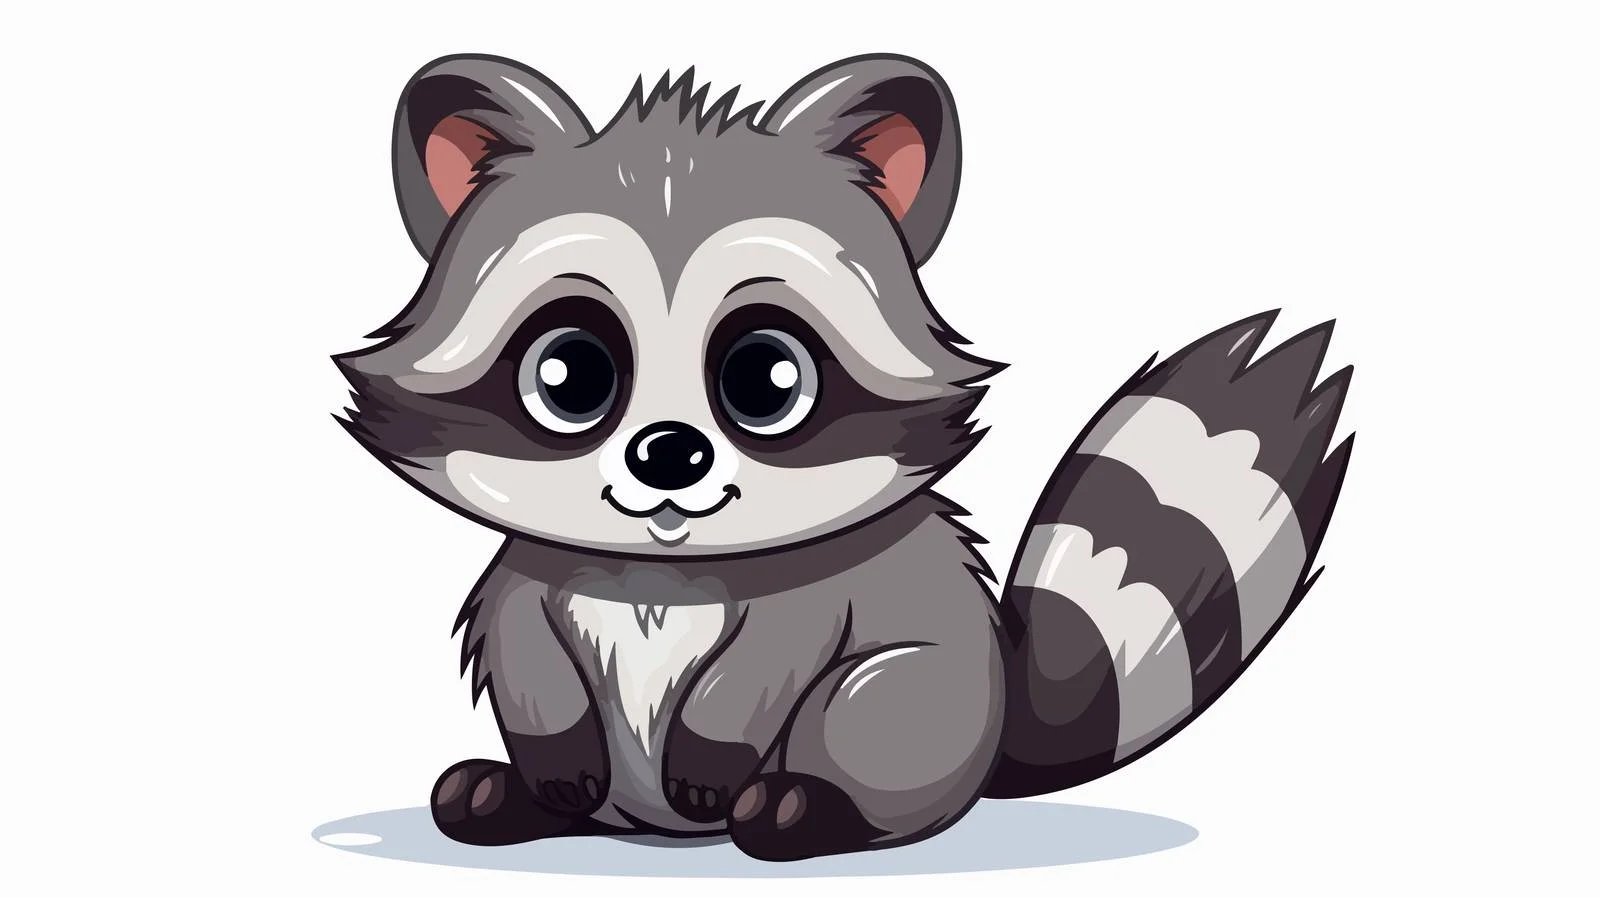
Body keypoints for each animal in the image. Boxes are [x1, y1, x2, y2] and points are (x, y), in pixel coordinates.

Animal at [334, 53, 1354, 861]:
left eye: (766, 376)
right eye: (569, 371)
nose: (670, 456)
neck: (657, 570)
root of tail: (997, 734)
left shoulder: (815, 591)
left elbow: (774, 659)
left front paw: (714, 751)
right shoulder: (532, 572)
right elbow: (520, 639)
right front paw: (551, 758)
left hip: (919, 708)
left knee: (868, 710)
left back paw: (802, 808)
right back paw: (509, 792)